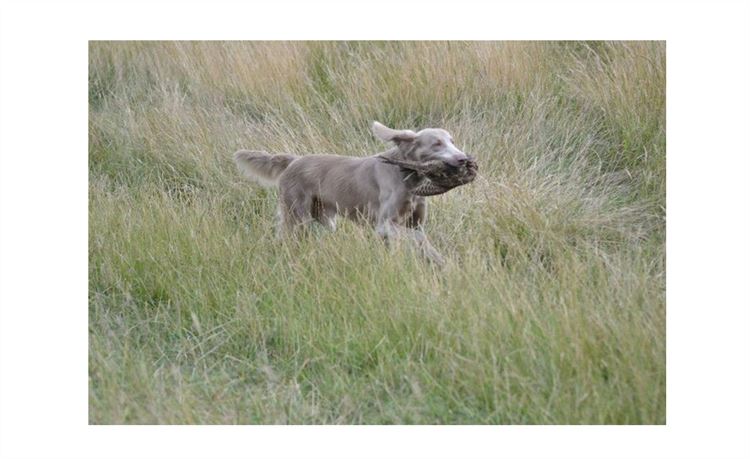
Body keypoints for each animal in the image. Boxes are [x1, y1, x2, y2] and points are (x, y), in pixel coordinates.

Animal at [232, 121, 472, 266]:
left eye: (452, 141)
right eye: (436, 143)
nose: (463, 159)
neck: (408, 178)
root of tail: (294, 160)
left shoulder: (413, 223)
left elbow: (425, 243)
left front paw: (443, 265)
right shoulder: (384, 224)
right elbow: (417, 237)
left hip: (324, 220)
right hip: (297, 217)